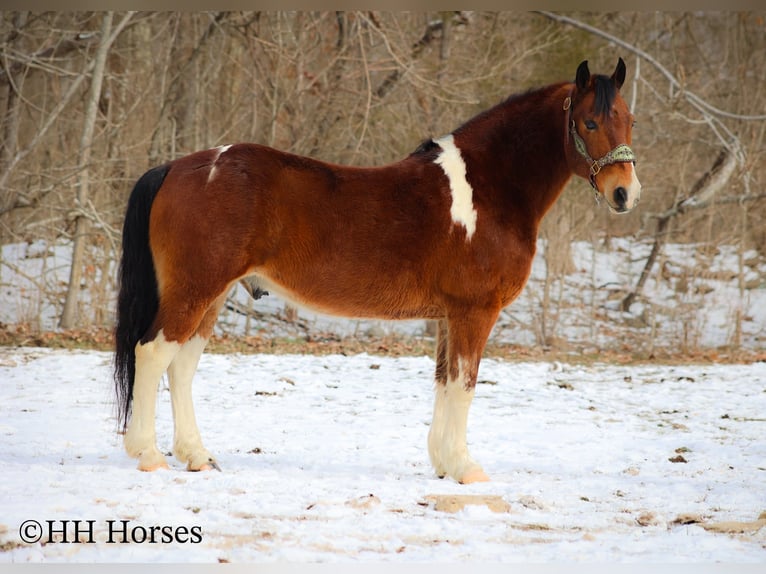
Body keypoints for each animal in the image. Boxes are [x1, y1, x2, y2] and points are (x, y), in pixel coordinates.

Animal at [114, 58, 640, 483]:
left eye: (629, 120)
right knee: (153, 353)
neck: (488, 189)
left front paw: (443, 464)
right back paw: (149, 455)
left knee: (182, 365)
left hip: (213, 294)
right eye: (590, 121)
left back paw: (197, 456)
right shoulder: (474, 312)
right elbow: (465, 385)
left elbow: (444, 381)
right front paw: (466, 468)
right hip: (195, 290)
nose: (625, 194)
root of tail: (178, 167)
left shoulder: (448, 317)